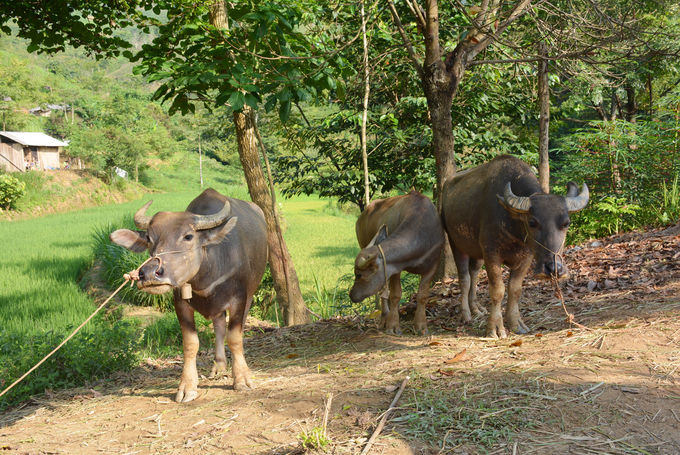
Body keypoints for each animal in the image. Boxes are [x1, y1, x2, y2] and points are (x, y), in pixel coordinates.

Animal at [110, 189, 266, 402]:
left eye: (188, 236)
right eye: (149, 238)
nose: (149, 273)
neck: (207, 275)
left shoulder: (240, 298)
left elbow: (235, 338)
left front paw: (242, 379)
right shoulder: (180, 303)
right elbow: (190, 344)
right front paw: (187, 386)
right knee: (218, 326)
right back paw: (218, 366)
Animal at [350, 191, 446, 336]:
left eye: (359, 275)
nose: (351, 294)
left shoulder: (433, 265)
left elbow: (423, 296)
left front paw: (421, 325)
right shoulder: (394, 268)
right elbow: (395, 295)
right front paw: (393, 325)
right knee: (383, 292)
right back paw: (385, 318)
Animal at [444, 156, 588, 338]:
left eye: (566, 223)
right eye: (532, 223)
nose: (554, 268)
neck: (513, 224)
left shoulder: (526, 257)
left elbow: (515, 290)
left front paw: (515, 324)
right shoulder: (491, 253)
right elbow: (498, 290)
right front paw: (495, 328)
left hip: (476, 250)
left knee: (474, 273)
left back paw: (476, 308)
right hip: (455, 243)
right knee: (464, 278)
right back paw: (465, 314)